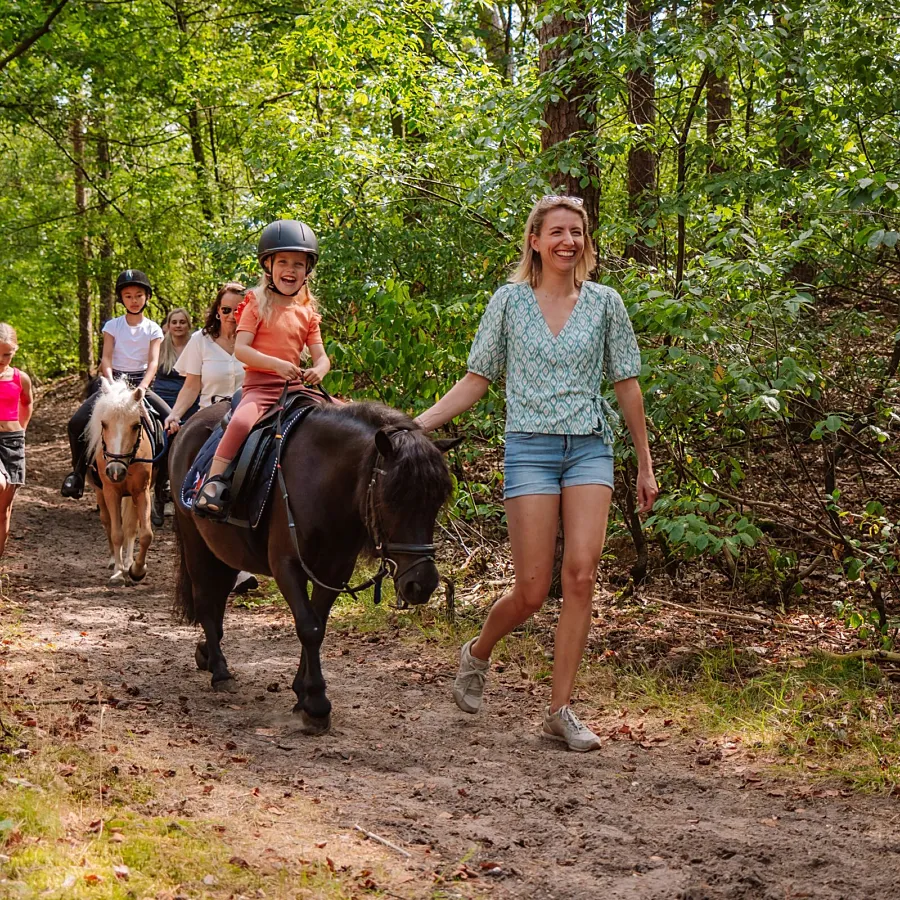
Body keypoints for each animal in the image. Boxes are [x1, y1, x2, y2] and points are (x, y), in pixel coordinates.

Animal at [85, 378, 155, 584]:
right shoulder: (111, 492)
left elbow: (145, 533)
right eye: (104, 424)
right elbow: (117, 533)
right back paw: (113, 561)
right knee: (108, 523)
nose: (116, 471)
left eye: (135, 425)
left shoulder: (141, 491)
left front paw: (137, 569)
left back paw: (129, 562)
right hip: (101, 493)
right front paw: (118, 572)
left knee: (131, 526)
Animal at [171, 398, 458, 736]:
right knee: (205, 598)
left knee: (218, 599)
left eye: (436, 501)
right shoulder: (287, 566)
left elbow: (318, 624)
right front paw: (317, 704)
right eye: (392, 498)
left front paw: (303, 691)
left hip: (224, 550)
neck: (323, 480)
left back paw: (207, 651)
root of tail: (190, 424)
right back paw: (219, 670)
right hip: (194, 538)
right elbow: (308, 627)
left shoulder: (335, 571)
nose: (422, 584)